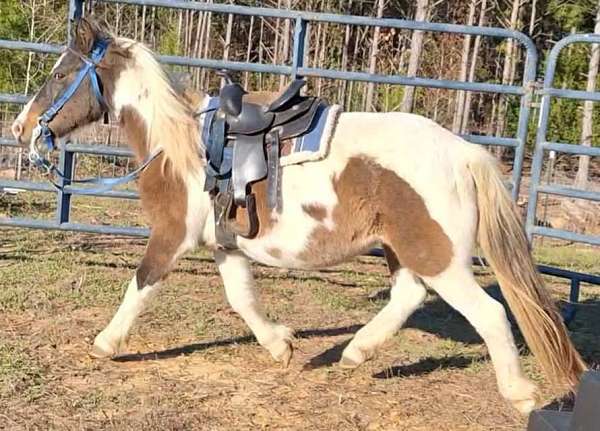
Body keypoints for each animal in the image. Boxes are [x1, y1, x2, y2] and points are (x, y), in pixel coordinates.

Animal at [12, 18, 584, 414]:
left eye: (60, 73)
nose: (19, 128)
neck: (180, 144)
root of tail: (465, 154)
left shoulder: (172, 235)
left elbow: (141, 284)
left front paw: (105, 344)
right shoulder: (225, 245)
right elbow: (242, 299)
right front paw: (280, 346)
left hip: (438, 257)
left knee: (488, 314)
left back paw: (520, 393)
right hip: (403, 250)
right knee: (407, 296)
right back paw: (353, 353)